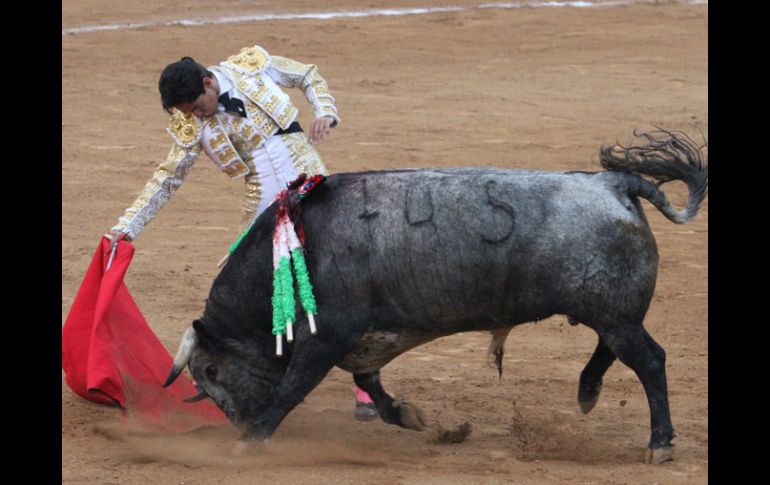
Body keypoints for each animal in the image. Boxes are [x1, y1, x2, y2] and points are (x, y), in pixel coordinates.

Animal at [164, 127, 708, 462]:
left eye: (211, 372)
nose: (238, 424)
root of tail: (612, 182)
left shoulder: (324, 339)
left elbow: (291, 389)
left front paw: (251, 443)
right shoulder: (364, 341)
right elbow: (374, 387)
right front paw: (413, 416)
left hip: (613, 314)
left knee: (649, 361)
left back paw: (660, 443)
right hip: (607, 312)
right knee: (614, 351)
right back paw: (587, 392)